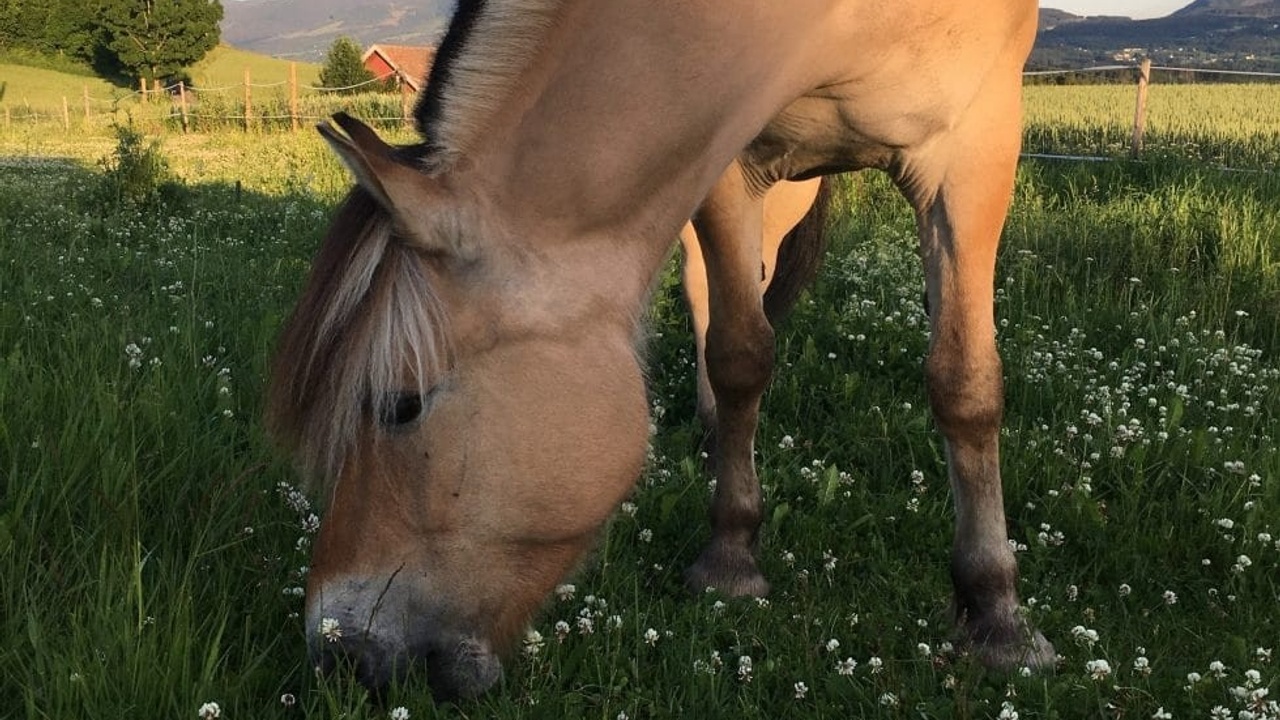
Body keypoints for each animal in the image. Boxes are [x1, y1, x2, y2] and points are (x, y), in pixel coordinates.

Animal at [268, 0, 1053, 699]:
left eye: (400, 406)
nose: (337, 650)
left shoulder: (978, 145)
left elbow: (964, 383)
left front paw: (997, 614)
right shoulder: (731, 159)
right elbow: (739, 356)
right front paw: (731, 554)